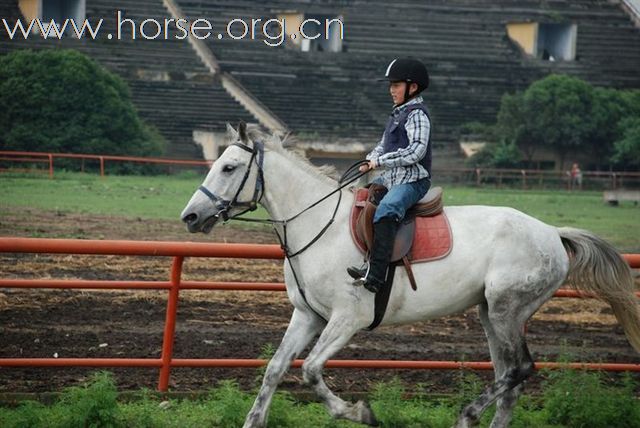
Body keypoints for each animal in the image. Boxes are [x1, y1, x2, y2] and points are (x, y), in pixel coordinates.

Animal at [181, 123, 640, 428]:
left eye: (229, 167)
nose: (190, 217)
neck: (319, 226)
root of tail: (552, 232)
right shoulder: (307, 315)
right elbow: (275, 369)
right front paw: (253, 420)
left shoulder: (346, 319)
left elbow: (310, 369)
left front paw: (360, 411)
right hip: (492, 314)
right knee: (510, 377)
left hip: (507, 309)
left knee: (518, 370)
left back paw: (467, 414)